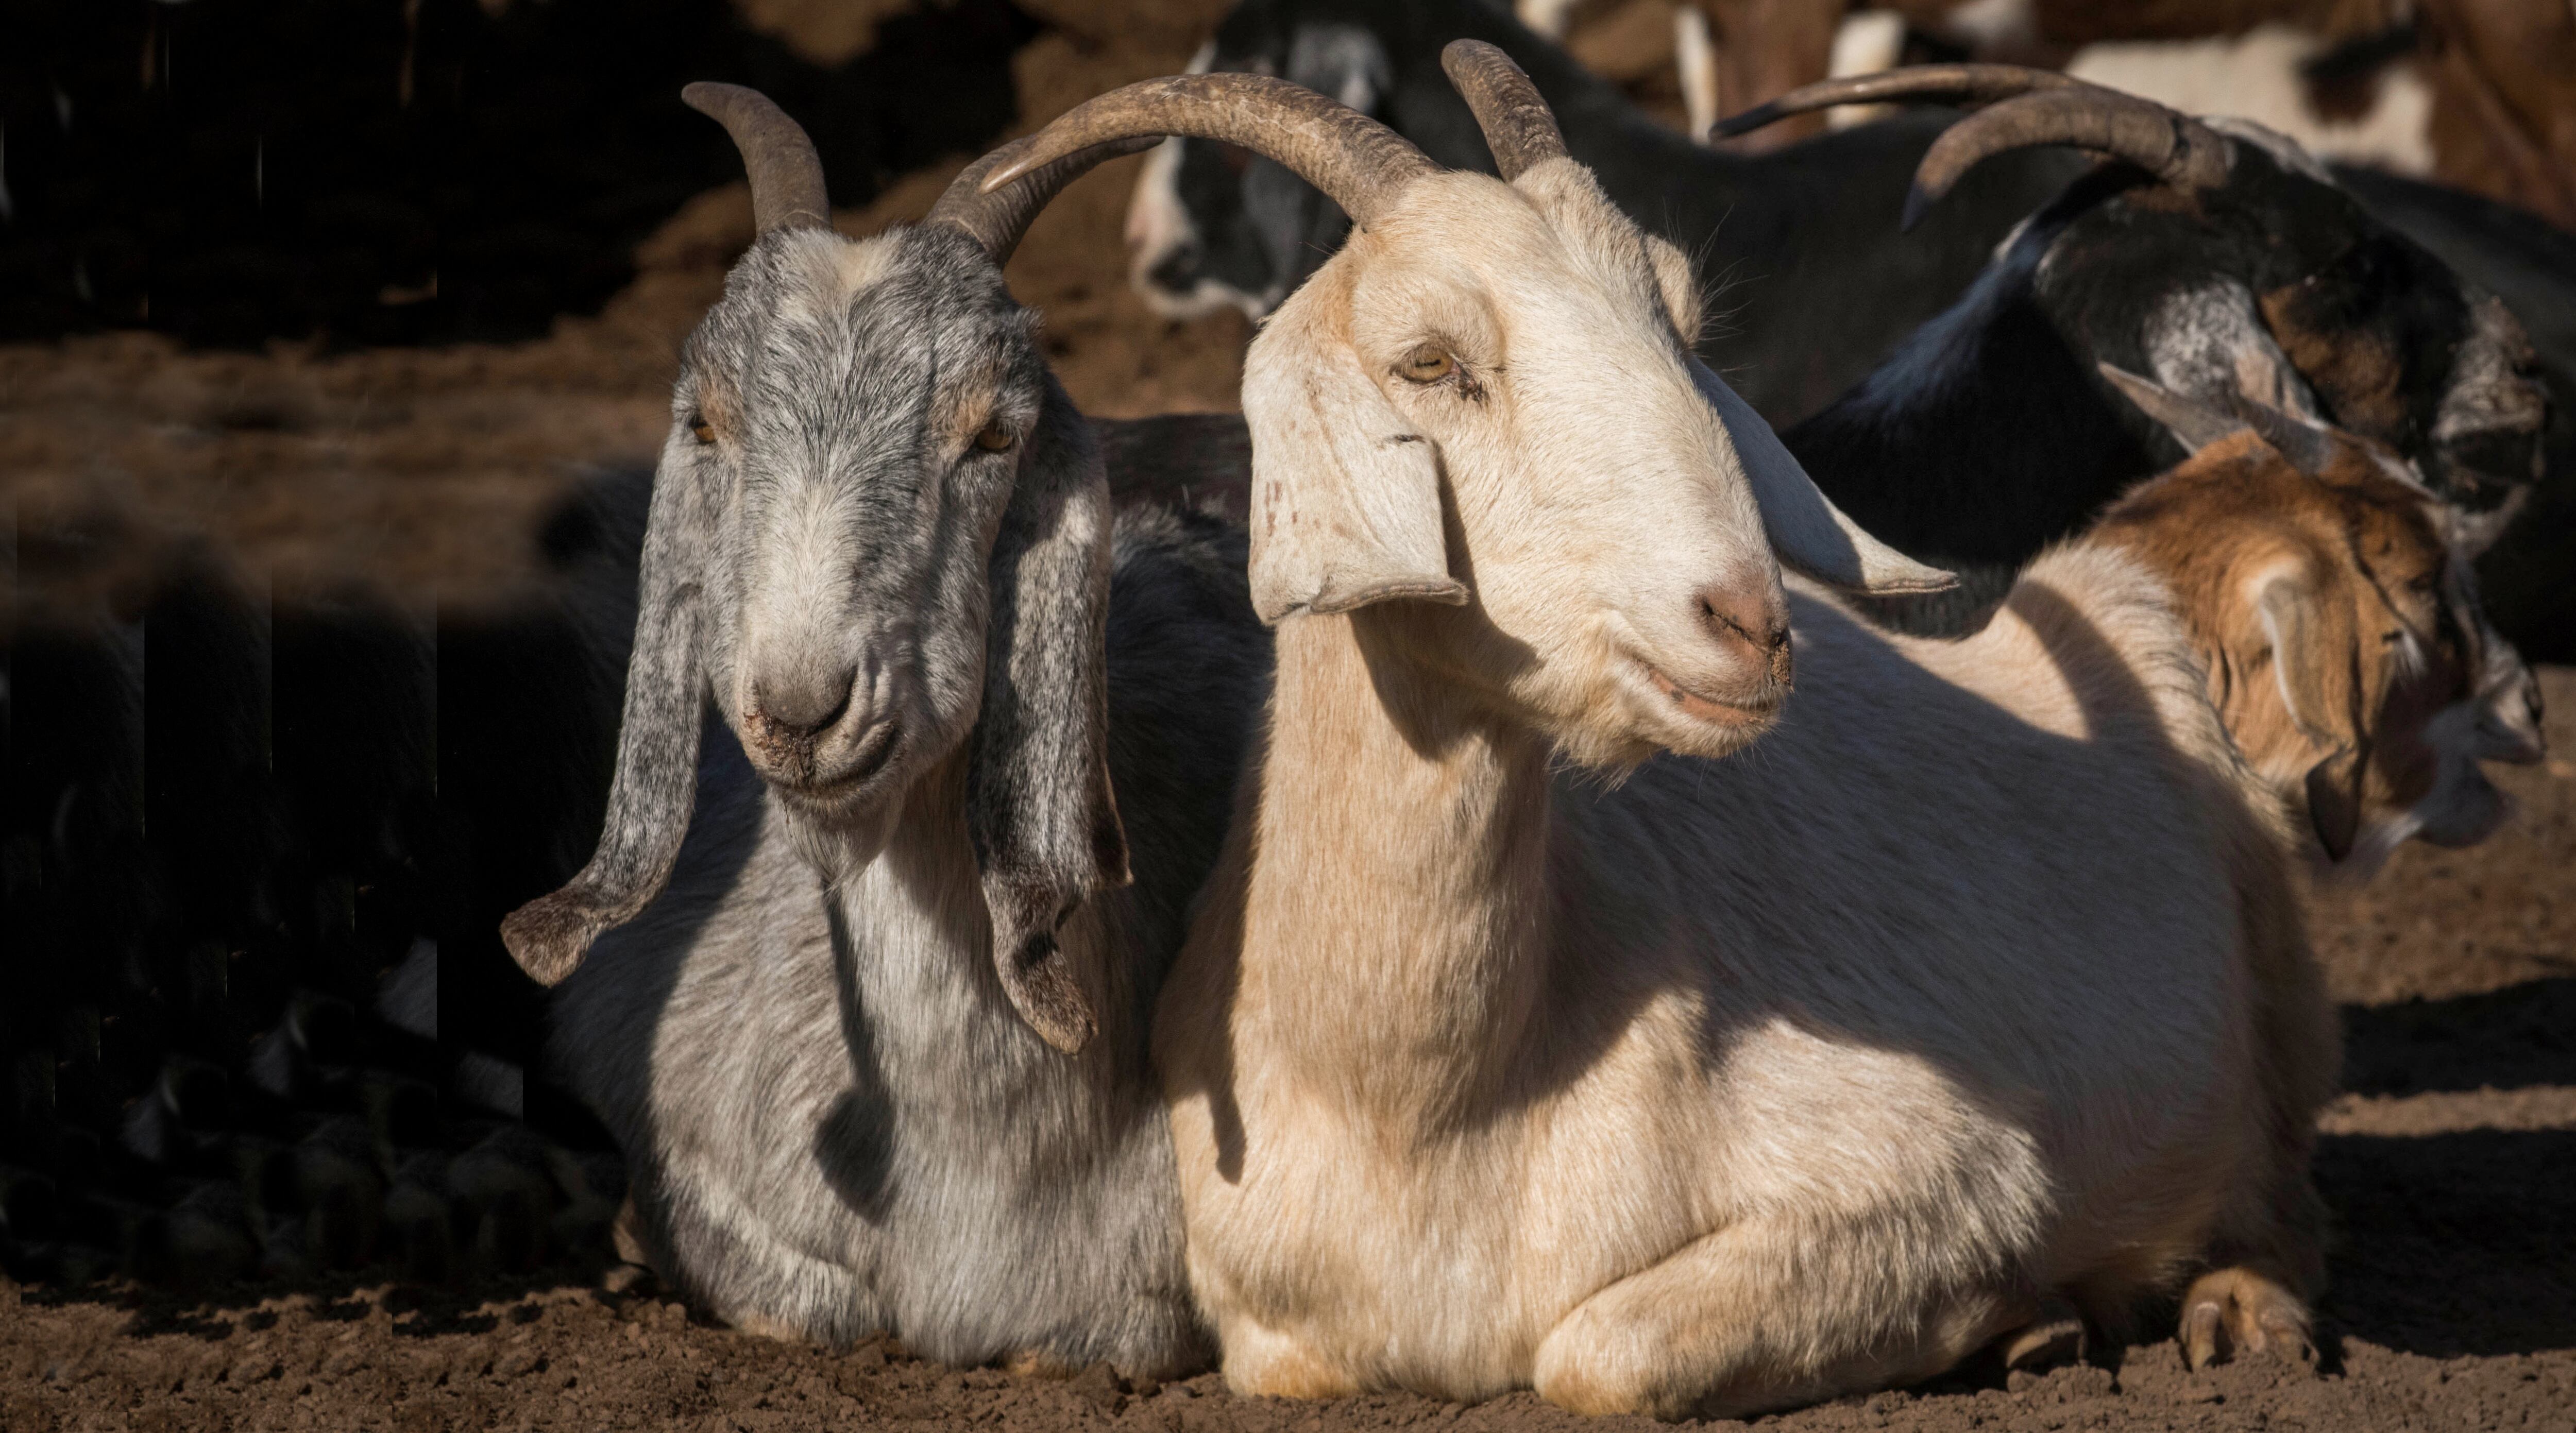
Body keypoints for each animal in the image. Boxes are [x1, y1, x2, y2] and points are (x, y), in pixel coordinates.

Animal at [989, 47, 2360, 1422]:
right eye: (1427, 360)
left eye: (1684, 327)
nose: (1749, 623)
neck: (1423, 1111)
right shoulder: (1272, 1335)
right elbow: (1309, 1358)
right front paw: (2027, 1323)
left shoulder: (1945, 1167)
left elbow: (1596, 1352)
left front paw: (2016, 1312)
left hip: (2284, 1008)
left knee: (2283, 1199)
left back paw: (2239, 1315)